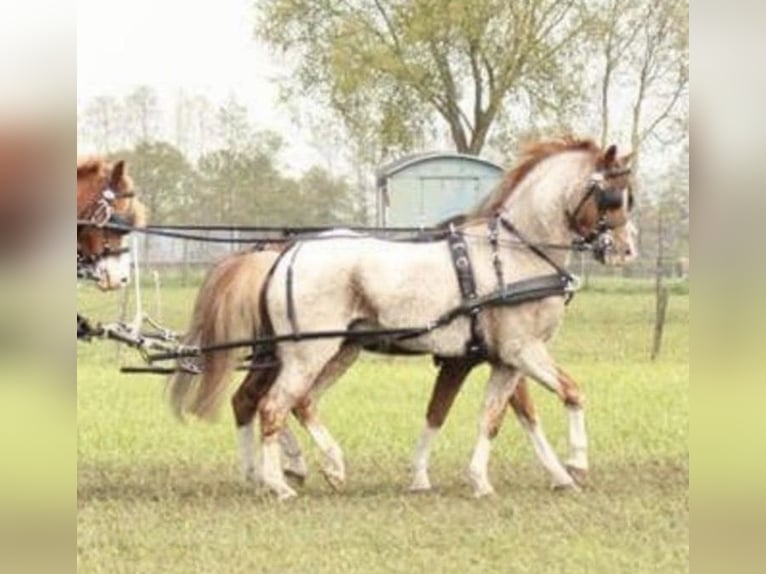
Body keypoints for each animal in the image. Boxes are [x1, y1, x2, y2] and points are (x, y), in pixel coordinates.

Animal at [171, 137, 635, 499]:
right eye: (612, 195)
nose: (626, 250)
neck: (513, 252)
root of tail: (288, 254)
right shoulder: (523, 350)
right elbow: (571, 393)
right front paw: (575, 465)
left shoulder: (504, 360)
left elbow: (490, 418)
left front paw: (479, 479)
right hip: (308, 354)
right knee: (271, 406)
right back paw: (278, 483)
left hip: (336, 352)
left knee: (291, 403)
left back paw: (318, 467)